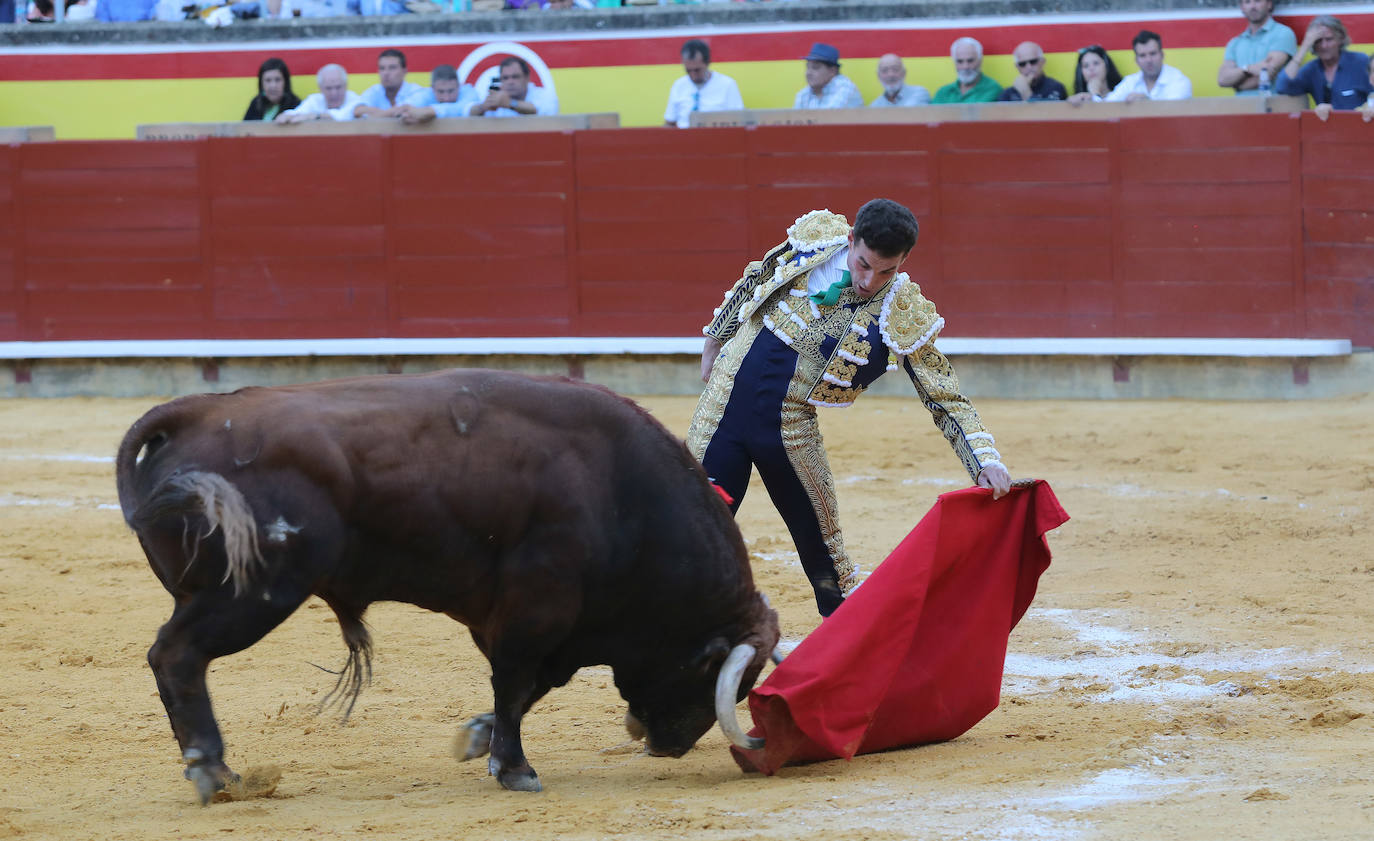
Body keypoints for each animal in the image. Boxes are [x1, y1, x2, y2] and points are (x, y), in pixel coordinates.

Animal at [115, 368, 785, 802]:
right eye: (709, 670)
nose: (668, 745)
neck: (624, 495)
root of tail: (195, 412)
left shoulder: (536, 625)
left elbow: (529, 687)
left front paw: (480, 740)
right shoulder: (536, 609)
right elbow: (515, 683)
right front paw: (514, 769)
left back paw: (215, 772)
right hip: (251, 593)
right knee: (175, 654)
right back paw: (213, 771)